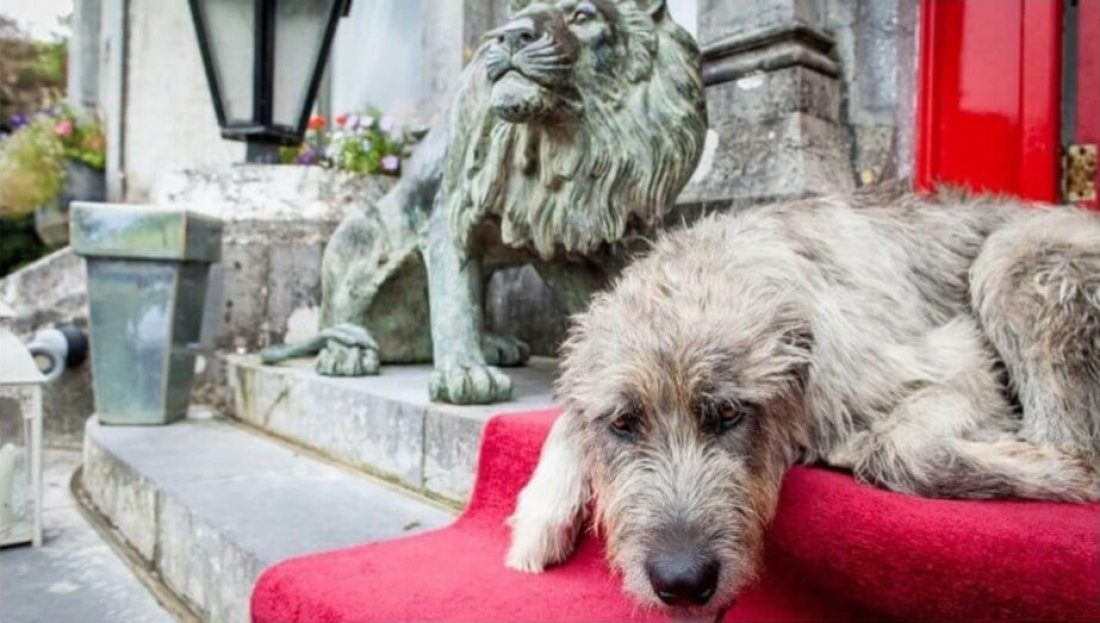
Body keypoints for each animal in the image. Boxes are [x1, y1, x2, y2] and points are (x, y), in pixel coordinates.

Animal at [503, 186, 1100, 616]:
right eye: (624, 423)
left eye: (729, 414)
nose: (682, 582)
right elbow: (566, 418)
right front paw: (539, 510)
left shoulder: (958, 363)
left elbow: (903, 451)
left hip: (1013, 258)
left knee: (1070, 441)